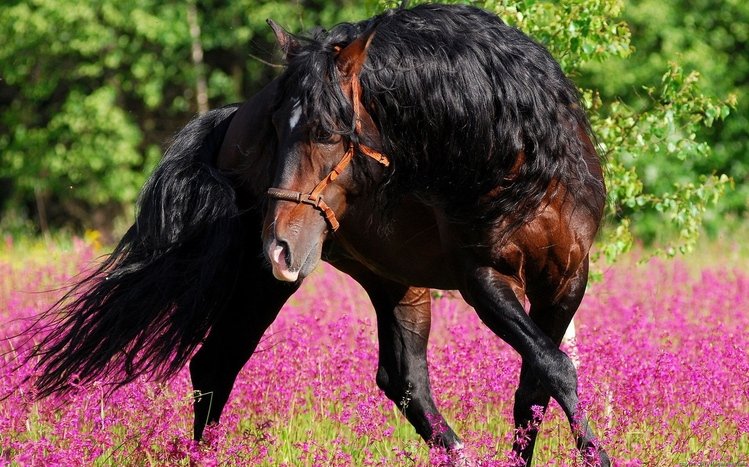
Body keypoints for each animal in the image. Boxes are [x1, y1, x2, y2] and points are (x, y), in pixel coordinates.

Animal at [262, 3, 609, 465]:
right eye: (275, 128)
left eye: (324, 132)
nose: (279, 248)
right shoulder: (482, 280)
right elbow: (555, 367)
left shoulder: (565, 279)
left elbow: (536, 385)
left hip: (393, 280)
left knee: (404, 379)